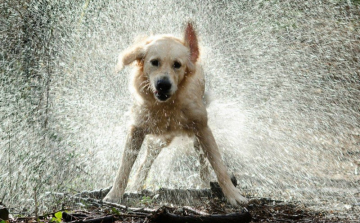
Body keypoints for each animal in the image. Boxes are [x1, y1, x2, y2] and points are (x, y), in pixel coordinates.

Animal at [103, 22, 248, 206]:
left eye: (177, 64)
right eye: (154, 62)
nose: (163, 84)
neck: (167, 106)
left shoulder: (202, 128)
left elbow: (219, 166)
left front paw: (233, 195)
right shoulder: (137, 129)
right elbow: (124, 167)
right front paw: (114, 195)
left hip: (194, 136)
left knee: (202, 161)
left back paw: (204, 183)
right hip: (159, 139)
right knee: (146, 162)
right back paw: (136, 186)